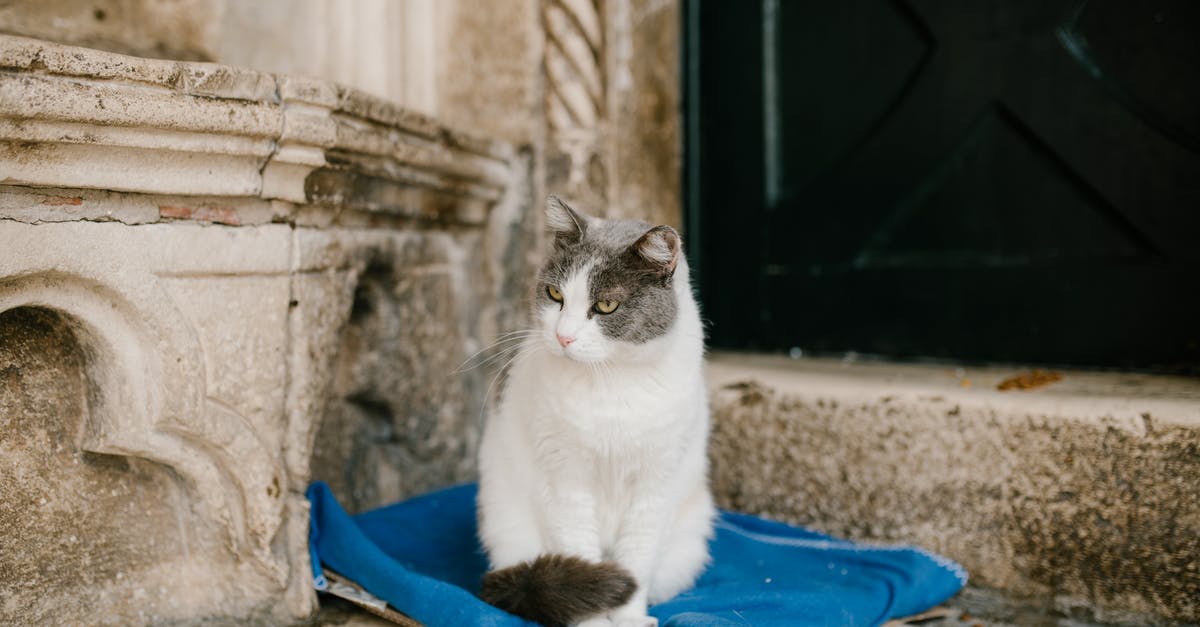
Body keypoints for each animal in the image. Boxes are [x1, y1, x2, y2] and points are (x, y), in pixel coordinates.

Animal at [475, 196, 710, 624]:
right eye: (554, 294)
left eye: (606, 305)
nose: (562, 336)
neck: (611, 381)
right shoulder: (566, 481)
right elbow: (579, 552)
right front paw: (595, 618)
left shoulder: (655, 485)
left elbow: (636, 560)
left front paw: (630, 617)